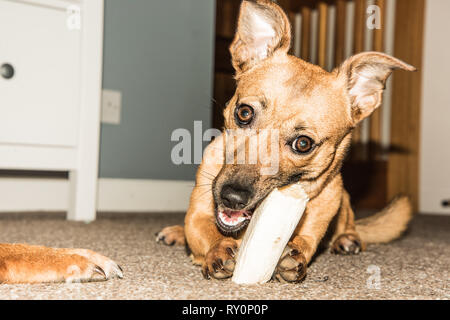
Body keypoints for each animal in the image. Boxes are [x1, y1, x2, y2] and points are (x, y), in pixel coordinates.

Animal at [158, 1, 414, 284]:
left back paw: (347, 239)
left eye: (303, 144)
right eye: (244, 113)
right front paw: (218, 248)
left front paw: (294, 255)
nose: (232, 197)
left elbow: (305, 241)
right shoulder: (198, 216)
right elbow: (204, 231)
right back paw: (175, 232)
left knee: (350, 225)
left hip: (343, 198)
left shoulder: (319, 214)